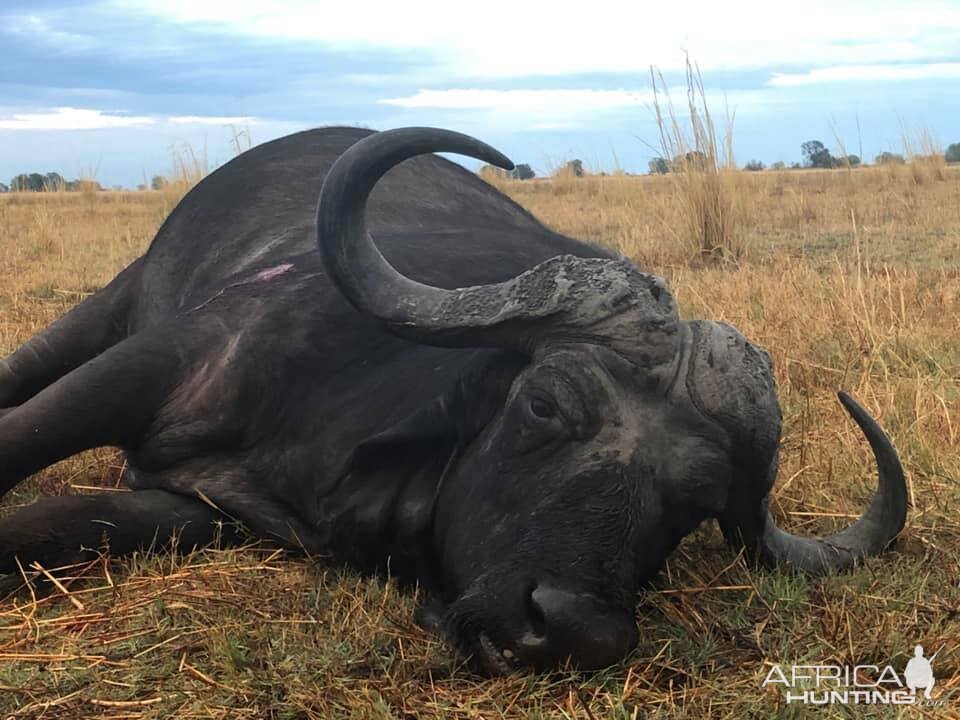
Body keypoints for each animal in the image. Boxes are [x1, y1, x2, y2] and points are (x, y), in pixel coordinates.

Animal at [0, 126, 908, 672]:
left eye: (696, 501)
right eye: (544, 405)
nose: (572, 630)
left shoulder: (200, 510)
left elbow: (53, 529)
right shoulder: (160, 359)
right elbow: (23, 439)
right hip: (101, 313)